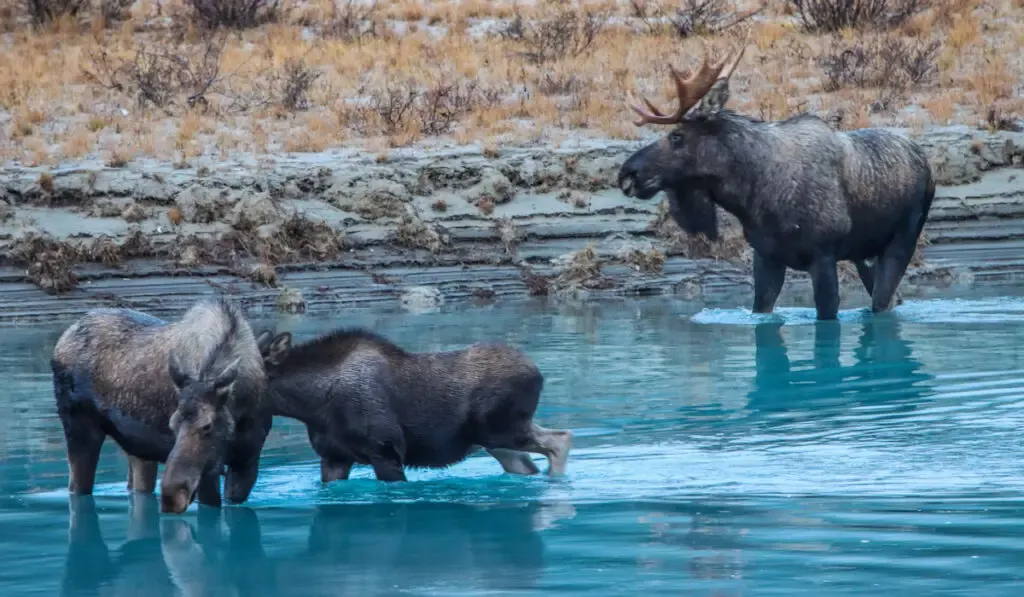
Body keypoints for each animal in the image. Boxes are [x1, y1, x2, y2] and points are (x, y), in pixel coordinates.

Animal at [614, 39, 937, 319]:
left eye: (677, 135)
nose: (627, 174)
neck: (750, 196)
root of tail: (926, 163)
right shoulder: (767, 257)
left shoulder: (822, 256)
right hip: (865, 254)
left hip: (903, 240)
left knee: (883, 301)